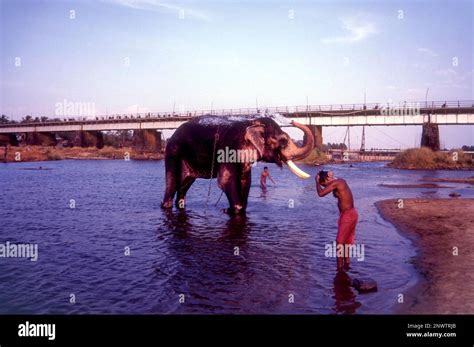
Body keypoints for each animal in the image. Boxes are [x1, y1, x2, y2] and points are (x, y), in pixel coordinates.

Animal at [160, 116, 314, 215]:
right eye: (283, 142)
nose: (292, 120)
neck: (251, 122)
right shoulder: (229, 149)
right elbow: (225, 180)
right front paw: (229, 210)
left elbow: (246, 180)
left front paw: (232, 209)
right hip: (173, 153)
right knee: (172, 183)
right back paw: (166, 206)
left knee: (185, 184)